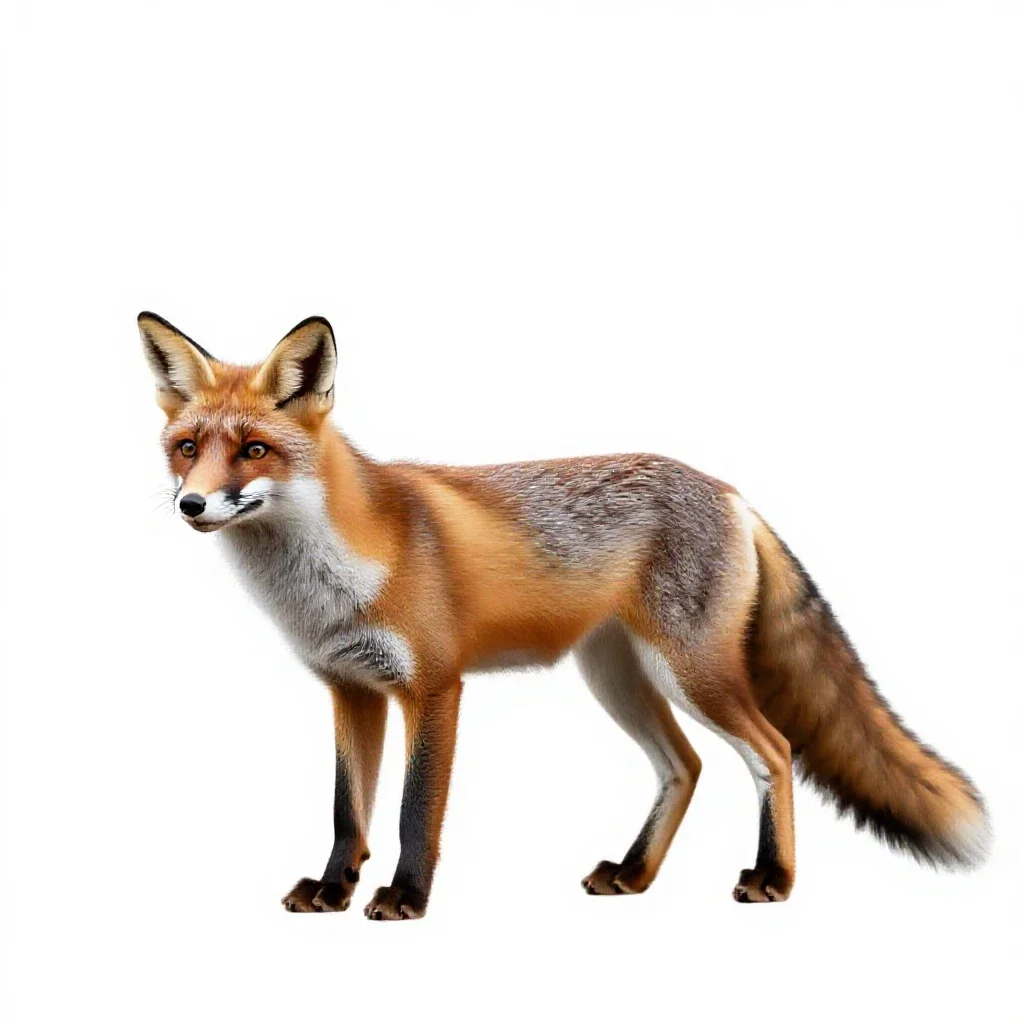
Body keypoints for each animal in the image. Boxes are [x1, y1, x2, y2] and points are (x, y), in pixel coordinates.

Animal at [140, 310, 989, 920]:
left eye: (253, 450)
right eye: (187, 449)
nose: (191, 505)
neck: (331, 579)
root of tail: (727, 489)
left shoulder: (434, 686)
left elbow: (415, 811)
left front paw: (405, 898)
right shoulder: (350, 689)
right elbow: (349, 812)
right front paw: (331, 891)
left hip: (693, 674)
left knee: (774, 753)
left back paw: (772, 878)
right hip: (617, 678)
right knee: (685, 765)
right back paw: (634, 874)